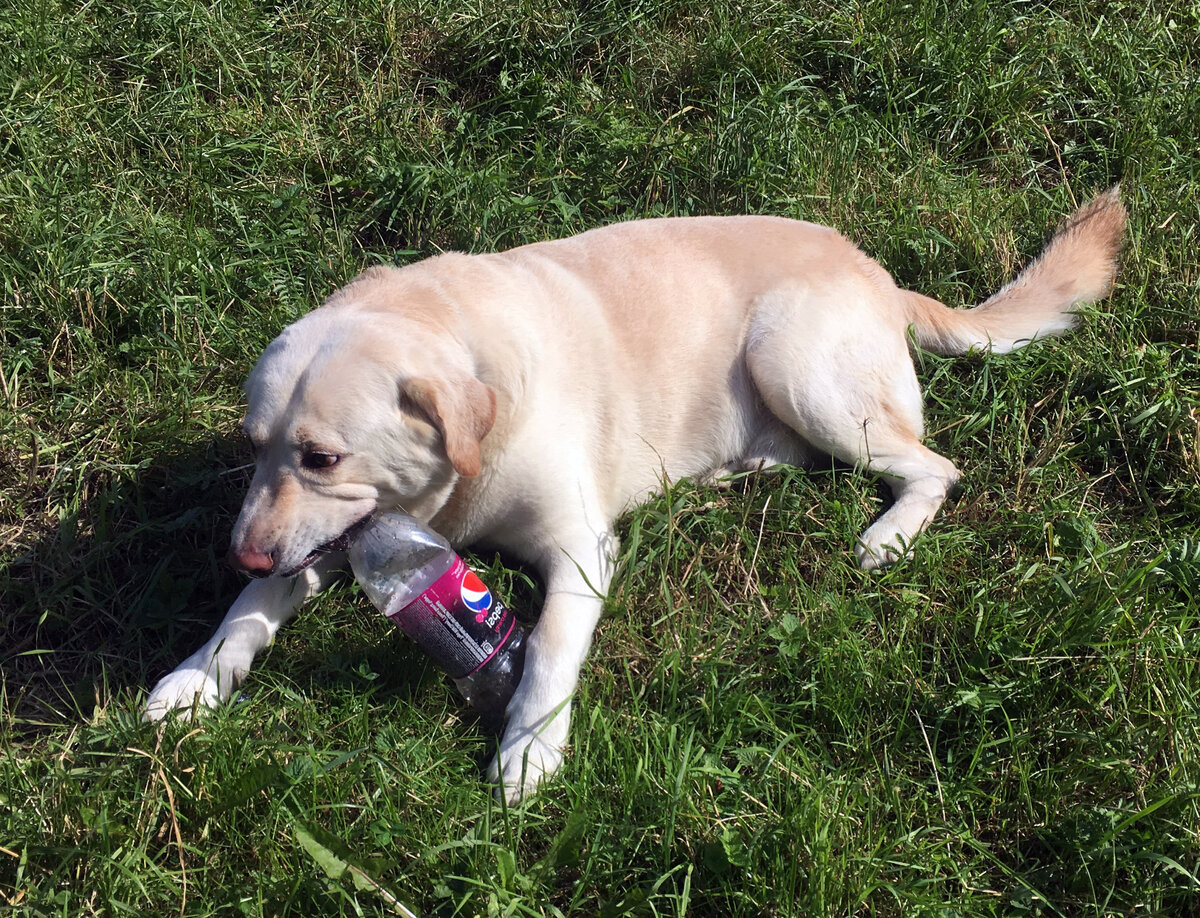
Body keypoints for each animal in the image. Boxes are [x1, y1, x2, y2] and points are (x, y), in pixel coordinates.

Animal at [147, 189, 1123, 796]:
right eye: (255, 446)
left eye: (321, 456)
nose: (241, 549)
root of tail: (878, 272)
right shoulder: (332, 541)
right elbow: (246, 612)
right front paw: (195, 679)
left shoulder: (577, 549)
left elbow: (547, 646)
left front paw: (529, 752)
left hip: (793, 358)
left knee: (932, 466)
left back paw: (890, 532)